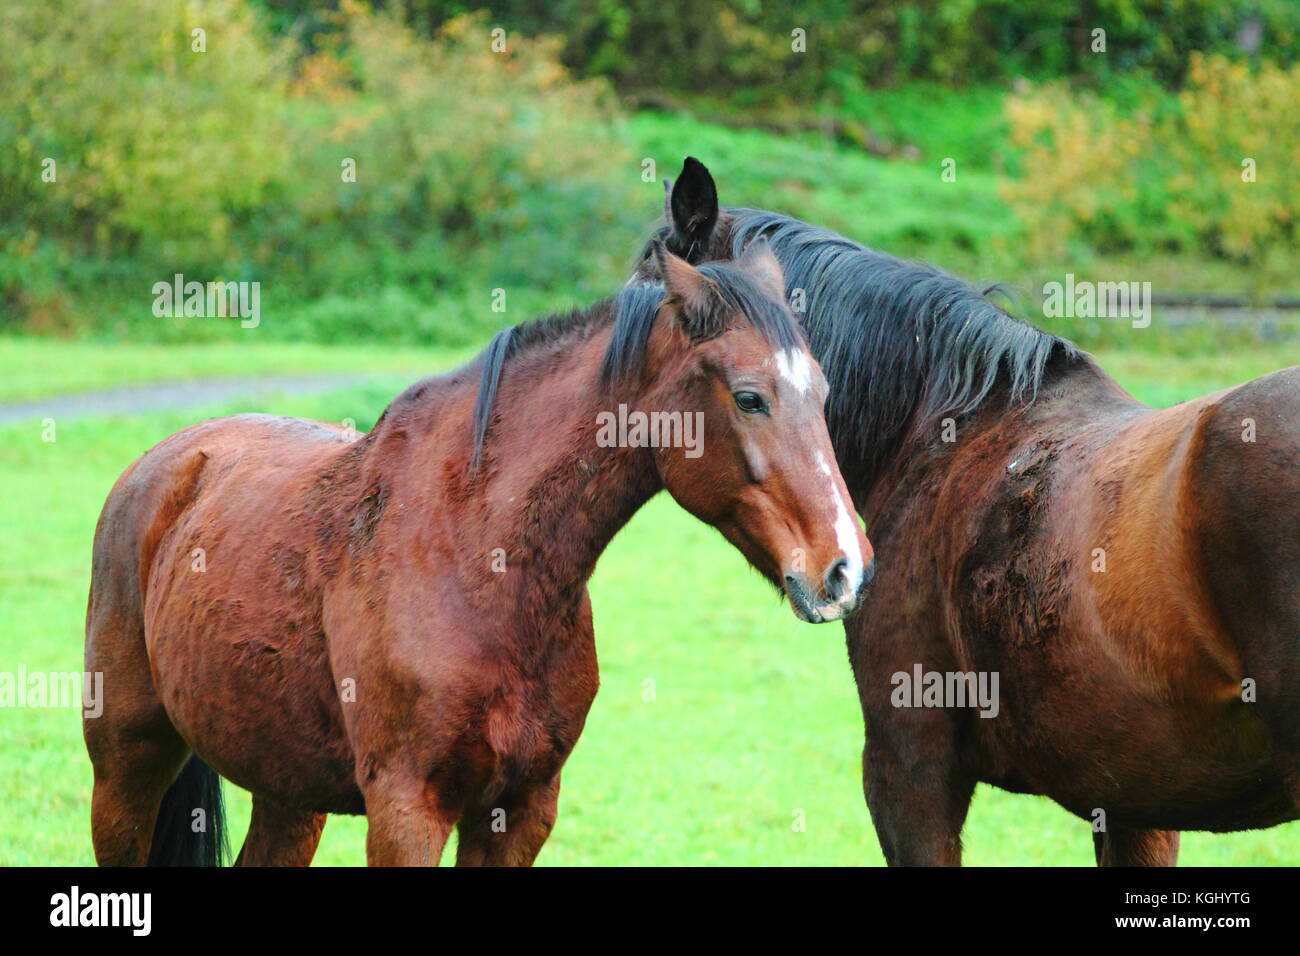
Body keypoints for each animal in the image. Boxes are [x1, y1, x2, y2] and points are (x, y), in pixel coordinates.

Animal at [83, 240, 873, 867]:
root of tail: (170, 461)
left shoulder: (520, 810)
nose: (845, 569)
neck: (478, 562)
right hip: (125, 769)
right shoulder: (407, 812)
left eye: (824, 391)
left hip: (287, 791)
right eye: (749, 398)